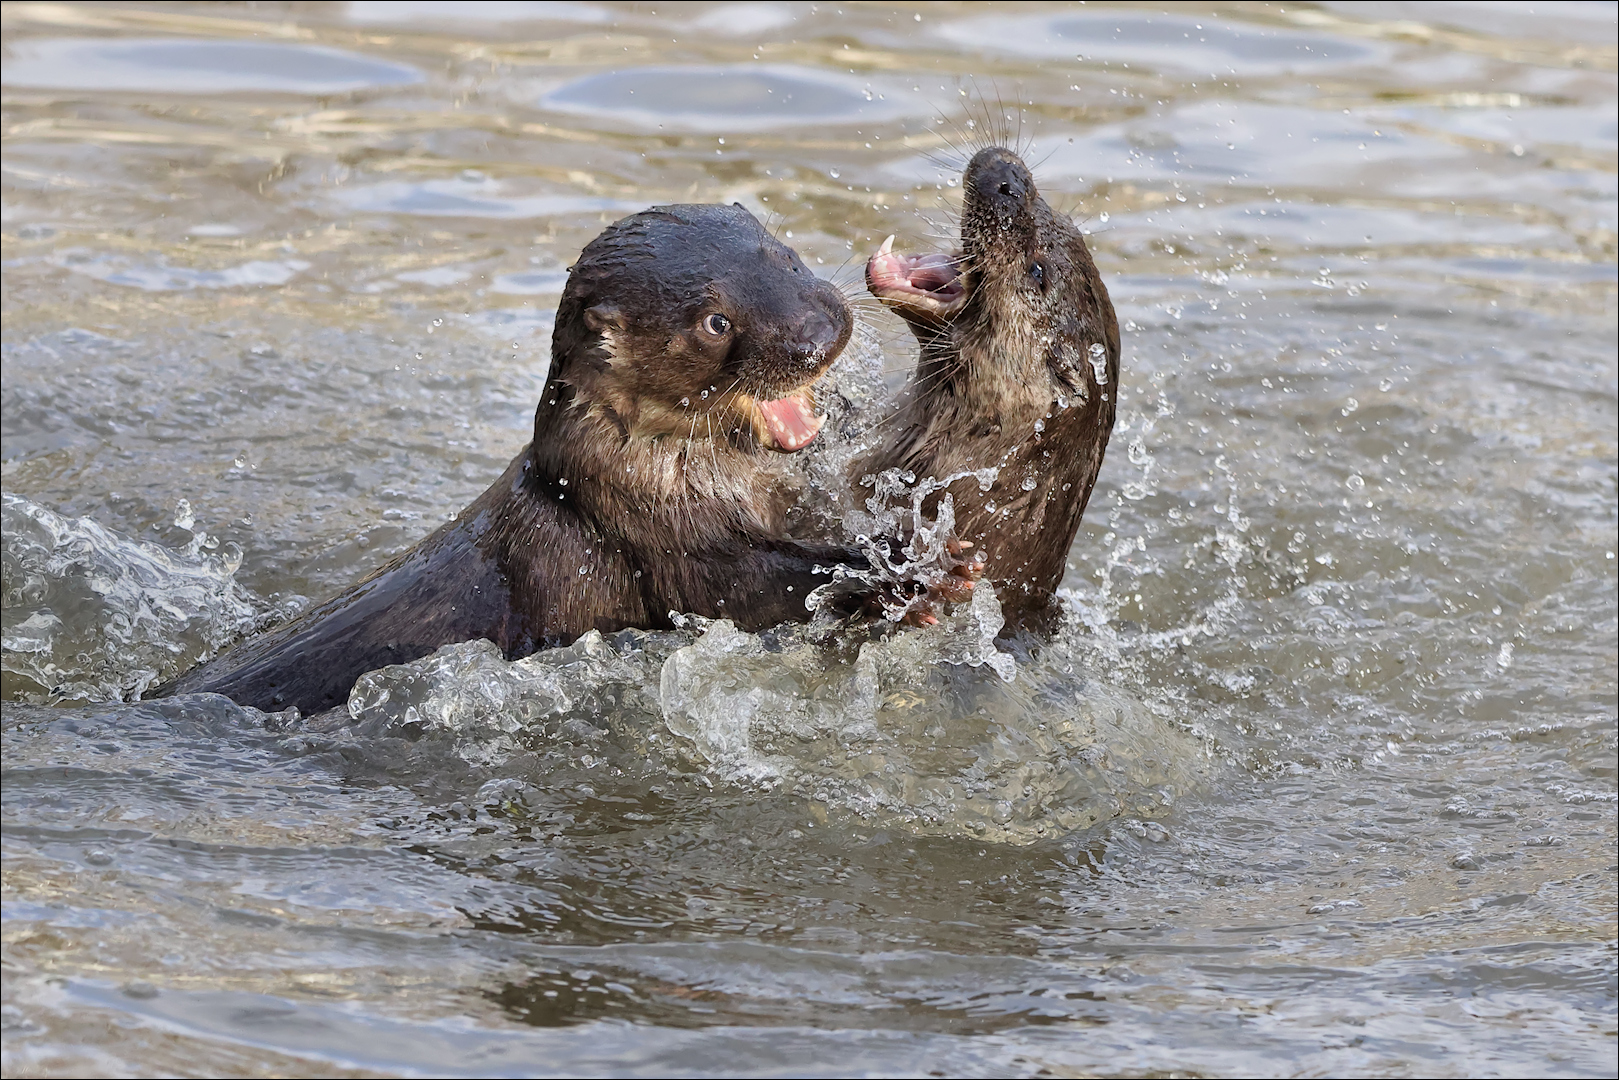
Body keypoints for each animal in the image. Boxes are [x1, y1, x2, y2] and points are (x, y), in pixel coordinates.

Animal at [161, 202, 958, 718]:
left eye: (785, 257)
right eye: (715, 321)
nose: (816, 335)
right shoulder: (658, 540)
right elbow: (758, 589)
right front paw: (899, 571)